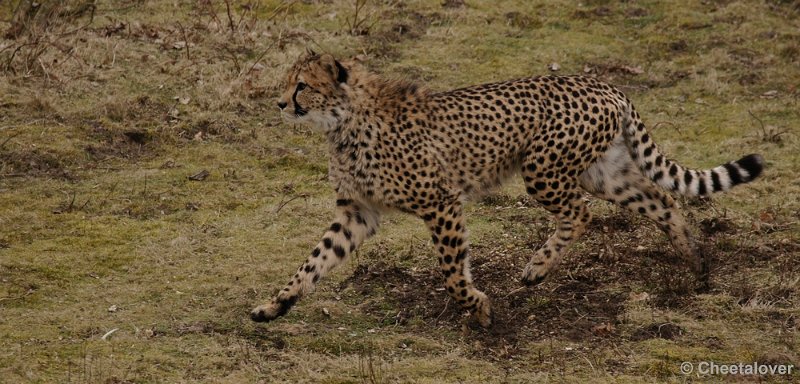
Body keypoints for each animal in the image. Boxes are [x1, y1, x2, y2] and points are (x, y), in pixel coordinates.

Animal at [250, 51, 764, 328]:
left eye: (302, 86)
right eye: (288, 83)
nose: (279, 103)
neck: (344, 122)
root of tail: (603, 84)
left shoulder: (441, 203)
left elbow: (452, 271)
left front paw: (477, 310)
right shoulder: (357, 212)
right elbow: (314, 261)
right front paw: (276, 305)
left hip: (544, 169)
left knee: (580, 213)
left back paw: (537, 268)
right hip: (604, 172)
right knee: (662, 199)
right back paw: (695, 262)